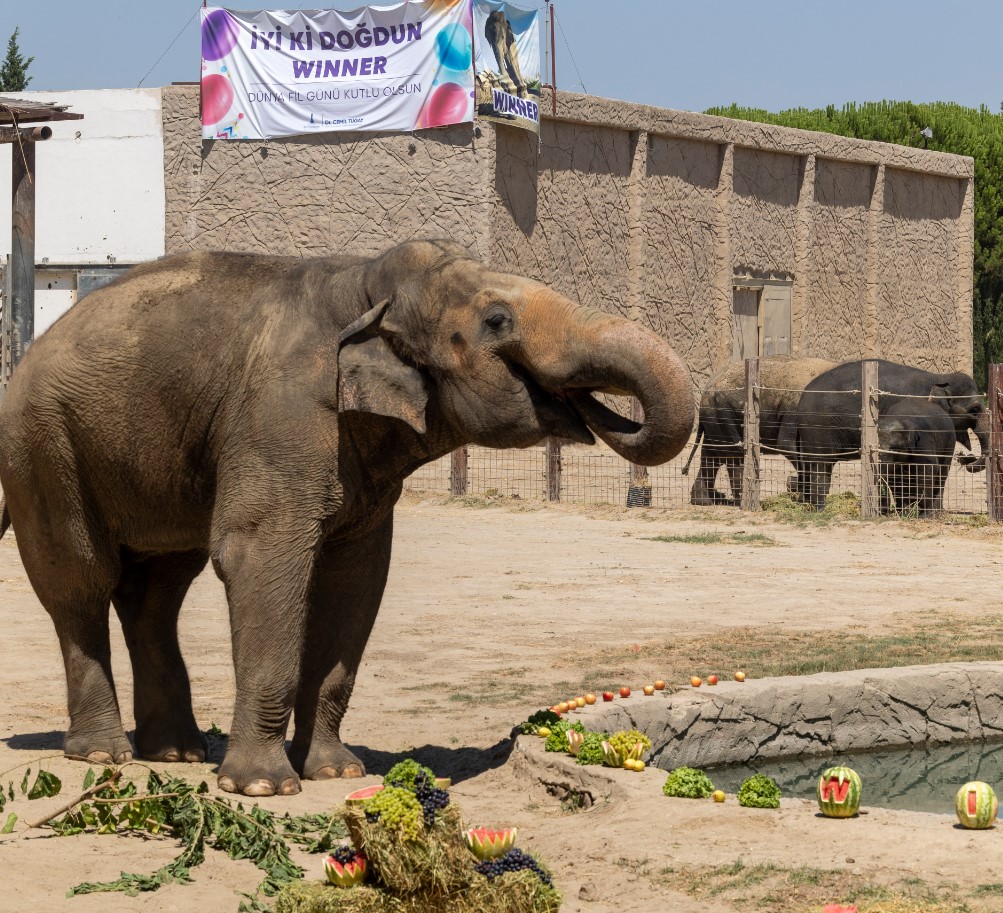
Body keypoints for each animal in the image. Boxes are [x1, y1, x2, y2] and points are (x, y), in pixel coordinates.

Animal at [0, 239, 694, 798]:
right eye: (497, 322)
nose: (592, 408)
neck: (364, 283)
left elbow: (355, 579)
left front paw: (336, 772)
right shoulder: (283, 415)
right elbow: (259, 556)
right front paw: (263, 789)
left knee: (157, 590)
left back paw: (175, 752)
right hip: (44, 449)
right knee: (81, 581)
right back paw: (102, 754)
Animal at [682, 355, 838, 507]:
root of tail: (704, 394)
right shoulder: (794, 411)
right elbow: (788, 445)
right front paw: (804, 496)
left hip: (714, 419)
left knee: (711, 454)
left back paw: (706, 500)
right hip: (723, 415)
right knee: (733, 456)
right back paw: (740, 501)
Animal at [774, 359, 986, 513]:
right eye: (975, 409)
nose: (966, 459)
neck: (938, 377)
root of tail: (802, 396)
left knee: (810, 465)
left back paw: (808, 504)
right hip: (818, 428)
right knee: (820, 465)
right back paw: (819, 509)